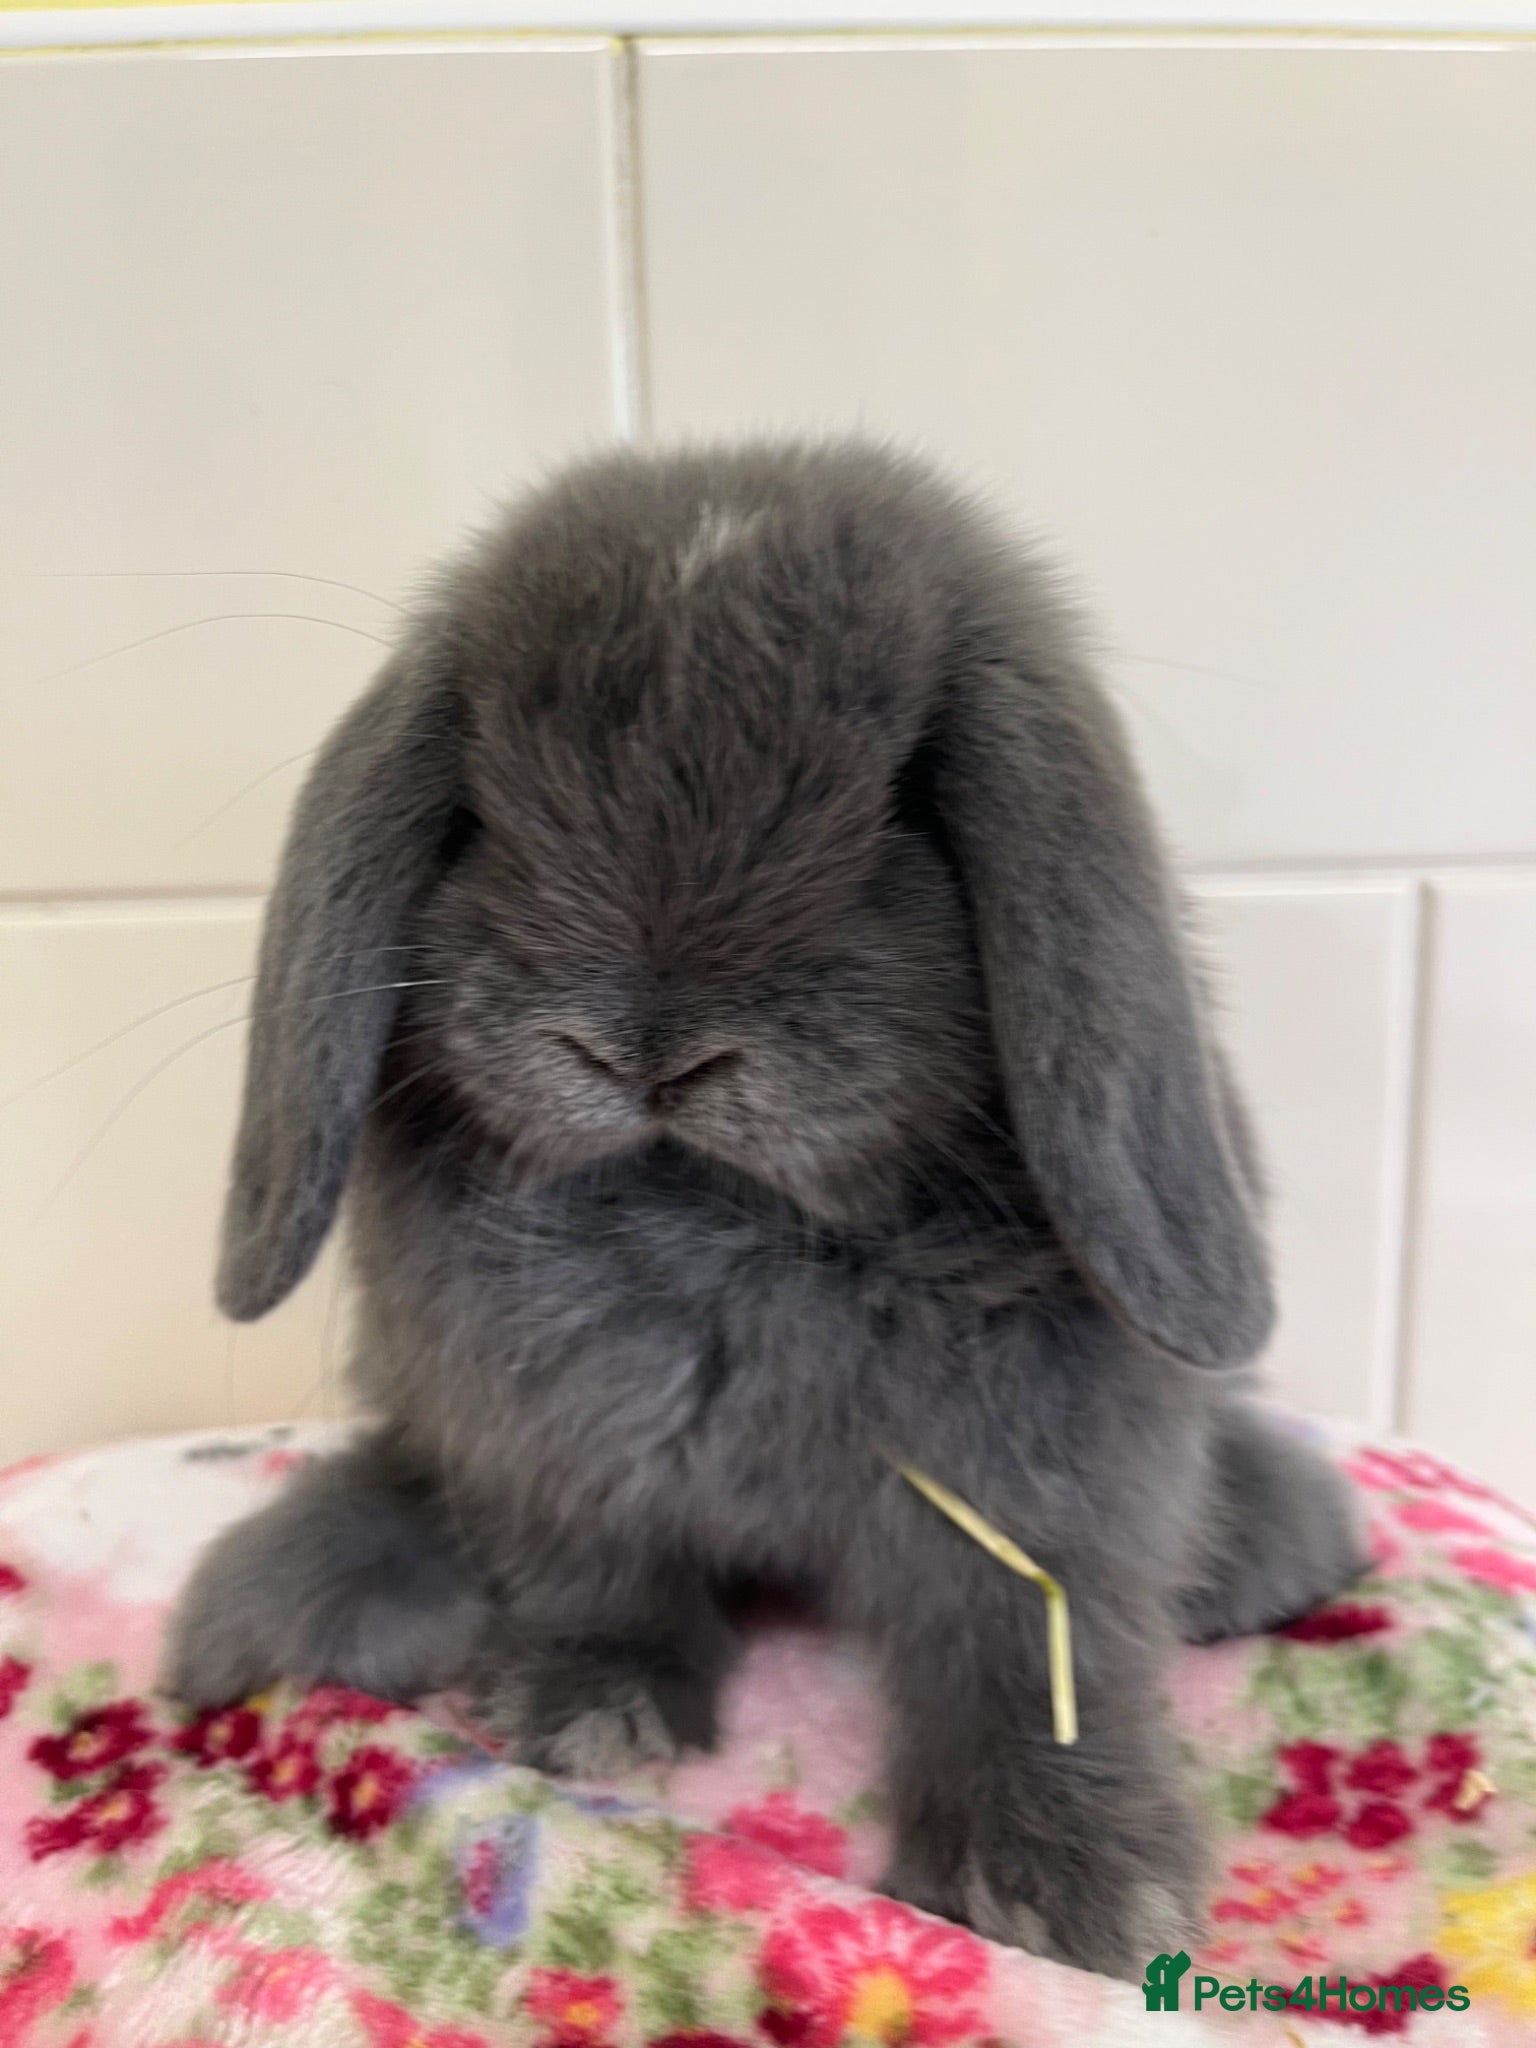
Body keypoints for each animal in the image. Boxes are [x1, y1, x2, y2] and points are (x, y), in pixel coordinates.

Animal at [166, 439, 1366, 1977]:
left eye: (910, 798)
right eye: (484, 802)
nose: (647, 1050)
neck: (719, 1214)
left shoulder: (1042, 1493)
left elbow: (1033, 1649)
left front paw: (1070, 1888)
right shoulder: (551, 1450)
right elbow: (596, 1576)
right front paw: (586, 1709)